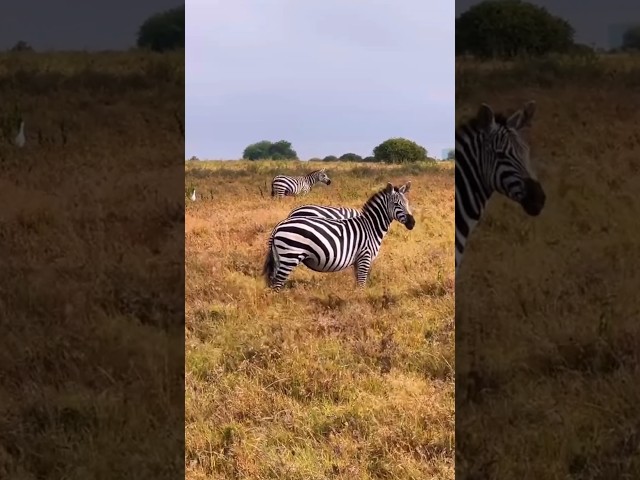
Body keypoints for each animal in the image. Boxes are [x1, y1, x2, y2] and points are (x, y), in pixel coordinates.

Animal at [262, 181, 416, 290]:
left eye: (407, 203)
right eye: (396, 204)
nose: (412, 223)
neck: (371, 227)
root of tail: (279, 226)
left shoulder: (358, 260)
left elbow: (358, 284)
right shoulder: (365, 257)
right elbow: (361, 284)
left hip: (280, 258)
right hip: (290, 256)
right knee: (277, 284)